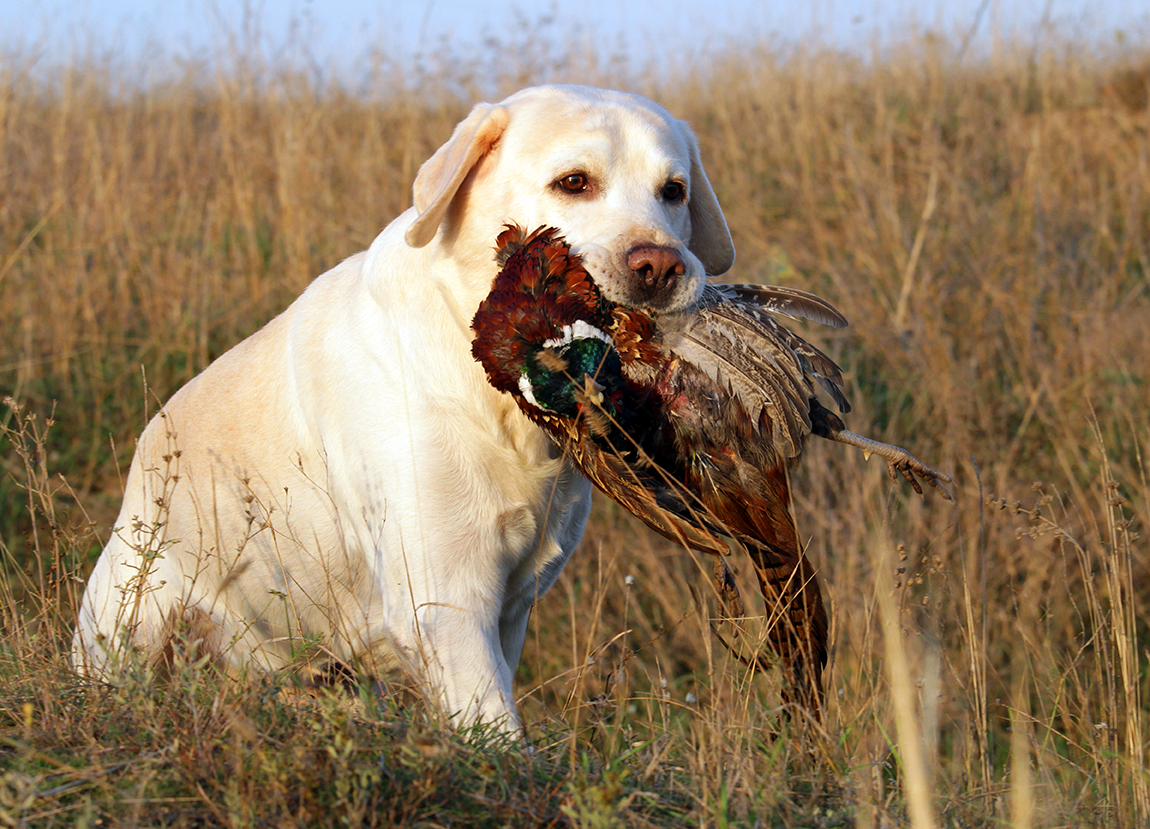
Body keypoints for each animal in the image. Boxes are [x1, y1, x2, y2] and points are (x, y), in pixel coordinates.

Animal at [74, 83, 736, 731]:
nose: (661, 266)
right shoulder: (443, 601)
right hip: (124, 633)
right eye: (574, 182)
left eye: (673, 191)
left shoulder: (510, 609)